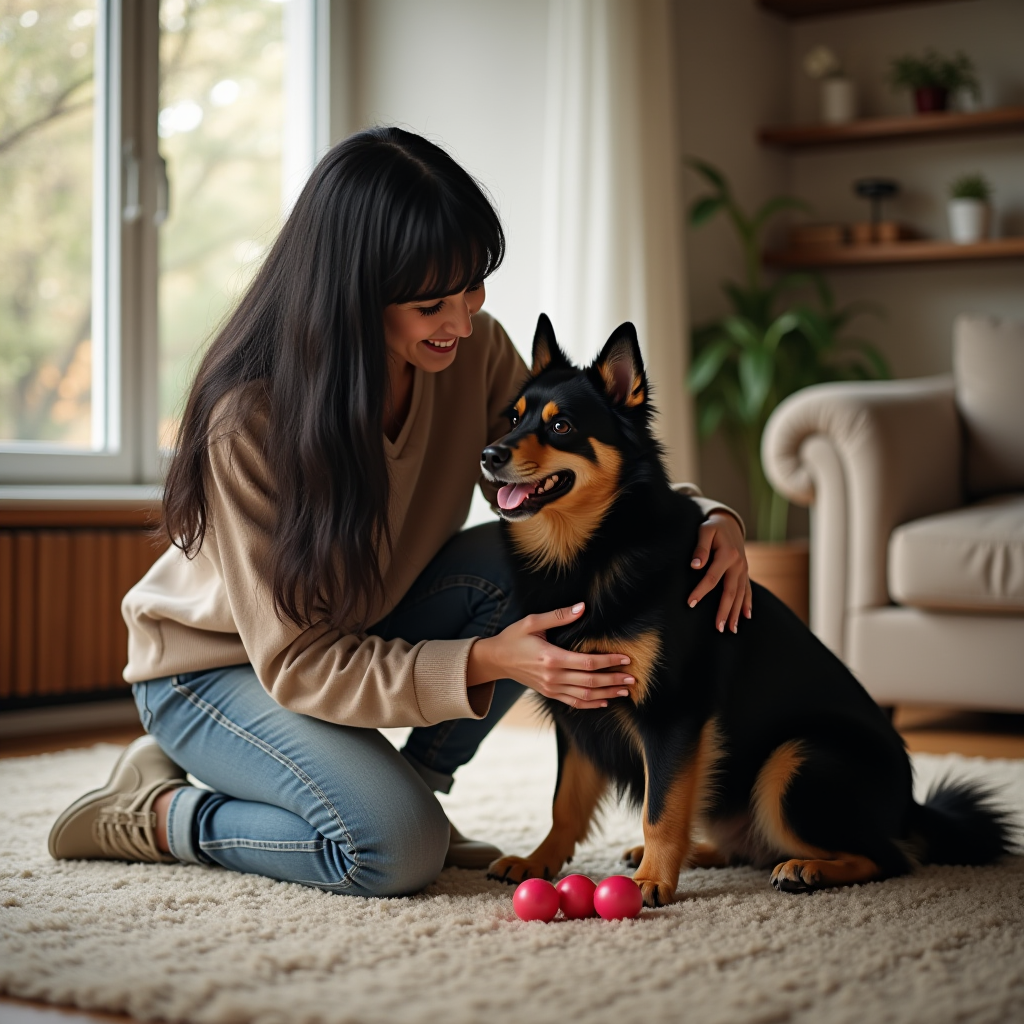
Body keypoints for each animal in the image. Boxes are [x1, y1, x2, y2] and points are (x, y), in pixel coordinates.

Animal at [479, 315, 1007, 909]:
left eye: (562, 425)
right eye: (514, 418)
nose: (489, 455)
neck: (600, 546)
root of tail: (910, 808)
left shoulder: (673, 711)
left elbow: (660, 808)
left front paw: (651, 883)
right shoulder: (577, 710)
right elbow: (564, 803)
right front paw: (539, 861)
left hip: (794, 760)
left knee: (890, 858)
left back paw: (806, 868)